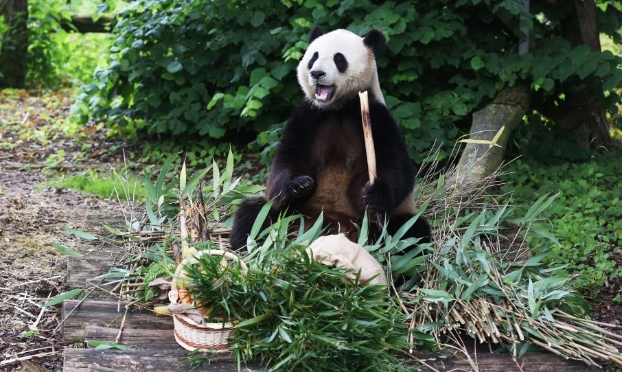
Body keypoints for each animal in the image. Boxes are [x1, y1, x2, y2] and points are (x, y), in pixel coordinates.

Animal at [230, 27, 434, 251]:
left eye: (339, 58)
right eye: (314, 57)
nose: (316, 73)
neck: (337, 107)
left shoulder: (376, 116)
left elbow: (395, 165)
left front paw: (373, 194)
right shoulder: (307, 116)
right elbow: (286, 160)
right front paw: (298, 185)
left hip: (383, 226)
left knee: (411, 232)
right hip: (290, 216)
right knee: (254, 213)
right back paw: (250, 246)